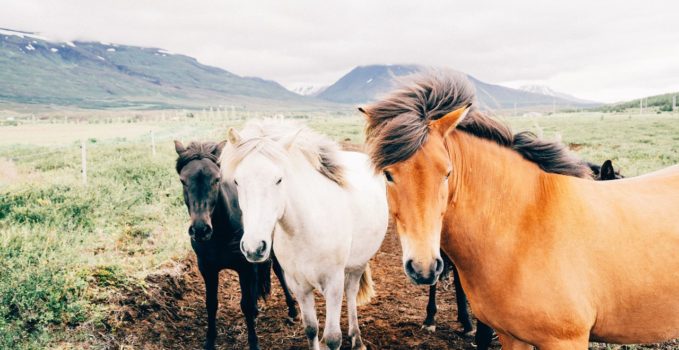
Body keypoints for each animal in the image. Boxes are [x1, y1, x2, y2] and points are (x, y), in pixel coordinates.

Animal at [175, 140, 298, 350]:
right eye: (183, 181)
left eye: (216, 179)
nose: (200, 229)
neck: (221, 233)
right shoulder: (207, 268)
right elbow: (211, 303)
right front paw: (209, 341)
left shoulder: (245, 266)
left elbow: (246, 304)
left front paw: (254, 343)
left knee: (278, 271)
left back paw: (292, 310)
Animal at [220, 120, 386, 350]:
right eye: (237, 181)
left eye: (279, 179)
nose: (254, 248)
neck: (304, 231)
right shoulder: (298, 285)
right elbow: (311, 329)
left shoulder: (333, 283)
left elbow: (333, 338)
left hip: (358, 264)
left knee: (351, 293)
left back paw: (357, 339)